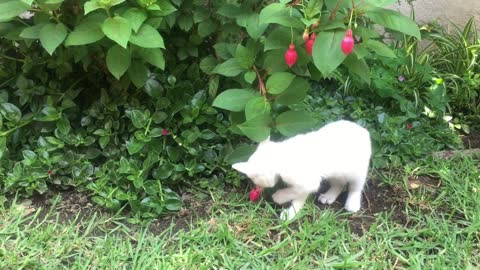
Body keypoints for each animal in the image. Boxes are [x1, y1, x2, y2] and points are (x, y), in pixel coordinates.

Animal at [232, 119, 372, 219]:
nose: (257, 188)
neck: (281, 156)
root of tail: (363, 130)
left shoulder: (308, 182)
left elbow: (293, 192)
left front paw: (280, 198)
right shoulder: (306, 184)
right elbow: (298, 197)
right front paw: (292, 213)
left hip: (357, 170)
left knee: (356, 186)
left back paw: (353, 203)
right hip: (336, 171)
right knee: (339, 183)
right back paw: (329, 196)